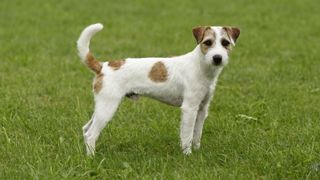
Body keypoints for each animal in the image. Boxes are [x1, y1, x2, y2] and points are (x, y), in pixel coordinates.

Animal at [77, 22, 240, 155]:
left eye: (225, 42)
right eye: (208, 42)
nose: (217, 58)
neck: (200, 66)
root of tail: (102, 66)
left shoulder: (202, 108)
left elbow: (197, 134)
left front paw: (197, 150)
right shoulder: (189, 108)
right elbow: (187, 134)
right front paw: (187, 154)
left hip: (102, 107)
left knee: (85, 129)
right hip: (108, 107)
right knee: (91, 134)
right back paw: (92, 158)